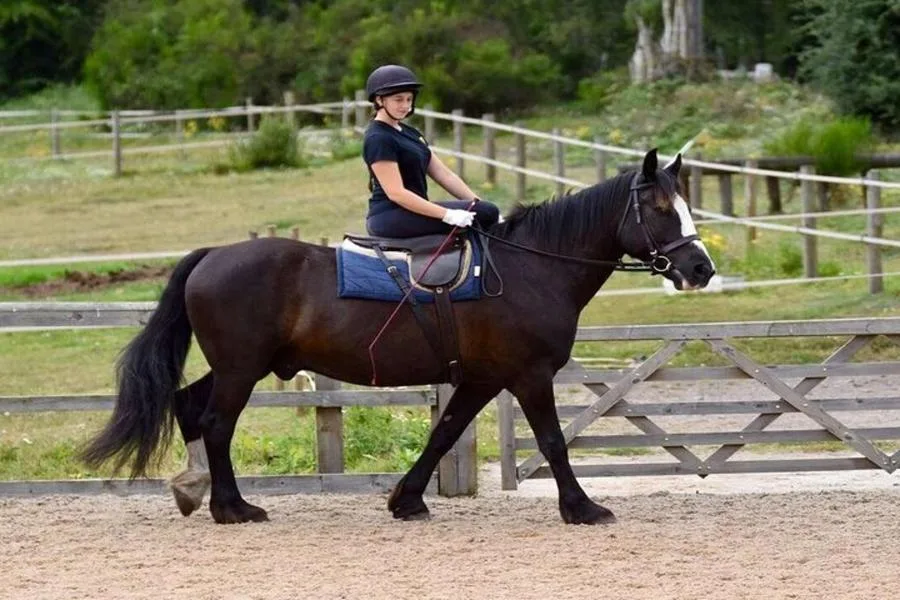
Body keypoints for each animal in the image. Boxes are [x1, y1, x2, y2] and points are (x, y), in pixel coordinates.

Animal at [81, 149, 715, 525]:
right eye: (661, 208)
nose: (701, 269)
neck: (533, 266)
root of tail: (214, 255)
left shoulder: (482, 379)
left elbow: (443, 434)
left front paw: (405, 500)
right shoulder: (529, 376)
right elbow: (554, 442)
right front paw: (582, 508)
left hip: (239, 364)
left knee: (189, 407)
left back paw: (193, 491)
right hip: (242, 368)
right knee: (215, 423)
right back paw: (232, 508)